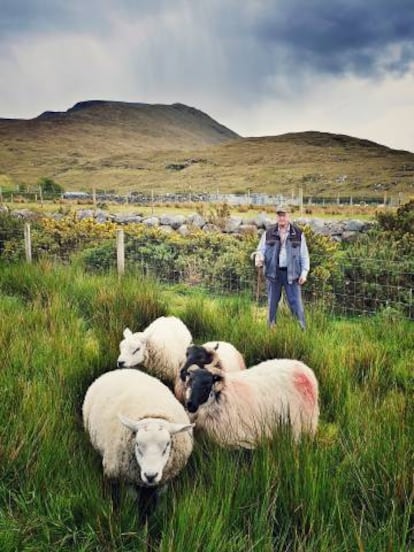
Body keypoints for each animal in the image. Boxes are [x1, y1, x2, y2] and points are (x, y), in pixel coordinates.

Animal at [84, 368, 196, 520]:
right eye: (137, 444)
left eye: (167, 445)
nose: (150, 476)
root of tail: (123, 370)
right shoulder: (128, 479)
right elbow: (132, 499)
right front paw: (132, 515)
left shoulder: (165, 479)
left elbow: (160, 499)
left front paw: (158, 515)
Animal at [184, 356, 320, 450]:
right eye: (190, 382)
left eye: (207, 384)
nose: (190, 405)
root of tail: (305, 368)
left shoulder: (239, 441)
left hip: (303, 424)